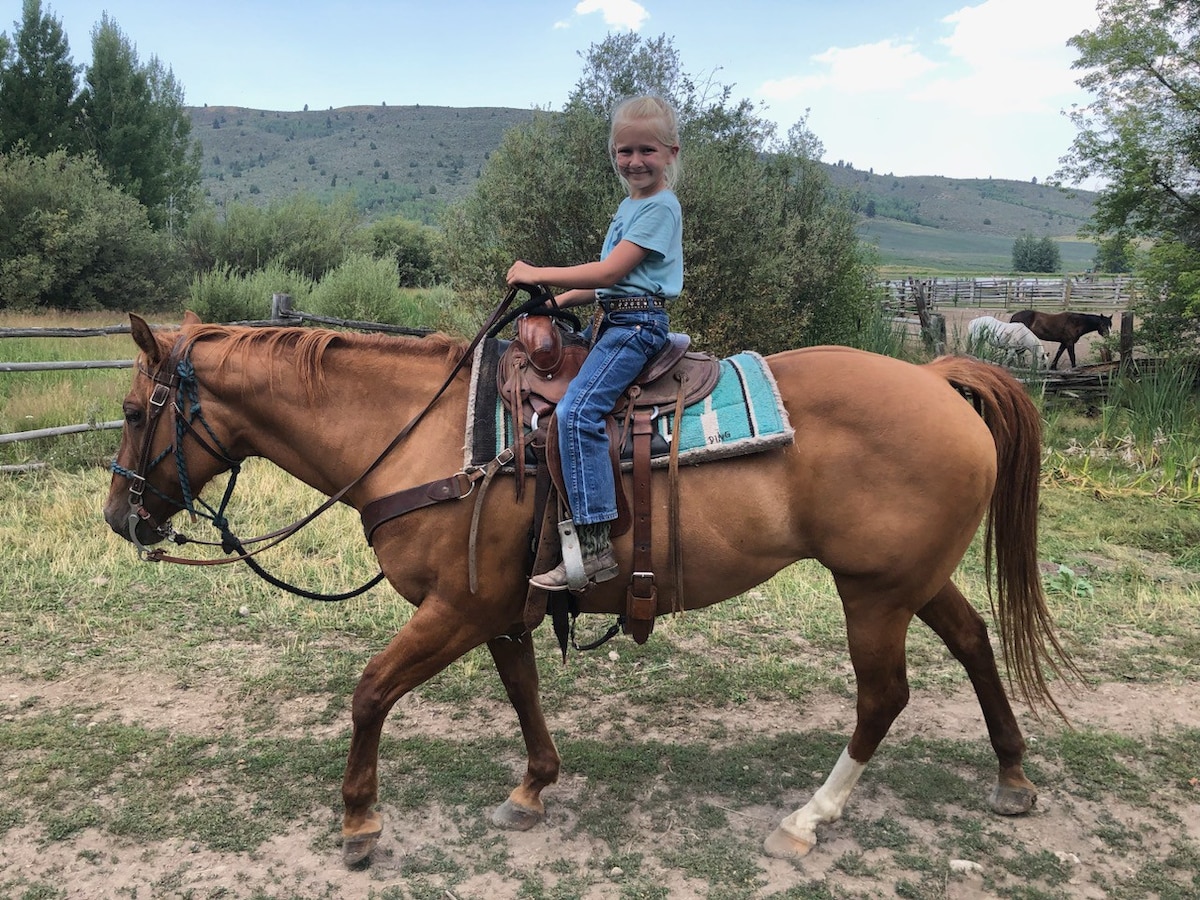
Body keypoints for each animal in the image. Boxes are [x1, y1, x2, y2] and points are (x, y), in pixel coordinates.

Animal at [103, 312, 1075, 868]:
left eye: (134, 410)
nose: (120, 516)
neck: (428, 437)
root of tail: (936, 379)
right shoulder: (495, 609)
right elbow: (523, 691)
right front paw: (533, 788)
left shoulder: (454, 610)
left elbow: (370, 692)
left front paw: (359, 823)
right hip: (912, 579)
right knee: (975, 642)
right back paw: (1012, 774)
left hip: (872, 591)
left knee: (883, 695)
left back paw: (810, 819)